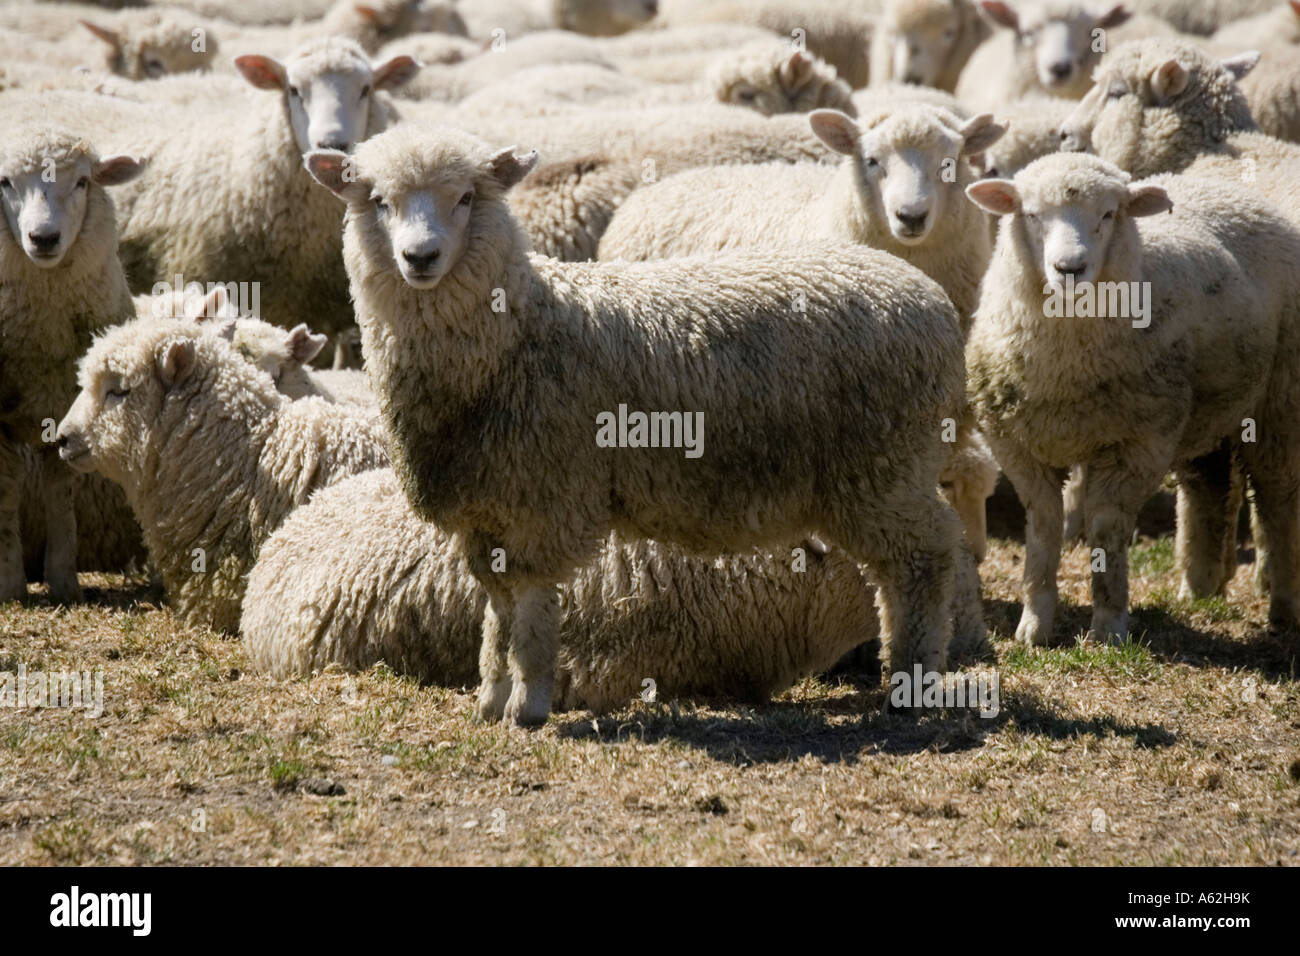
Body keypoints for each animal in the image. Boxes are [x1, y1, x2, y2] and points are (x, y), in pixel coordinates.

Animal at [0, 124, 143, 600]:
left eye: (82, 182)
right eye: (4, 182)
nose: (43, 238)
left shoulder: (65, 407)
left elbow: (60, 495)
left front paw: (64, 581)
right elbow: (5, 494)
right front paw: (10, 584)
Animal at [306, 127, 977, 723]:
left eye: (467, 198)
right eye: (379, 201)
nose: (420, 257)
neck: (517, 330)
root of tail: (930, 297)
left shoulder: (545, 497)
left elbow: (529, 606)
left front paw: (529, 704)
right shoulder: (486, 507)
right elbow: (496, 608)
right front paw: (491, 700)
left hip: (885, 467)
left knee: (926, 558)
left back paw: (912, 680)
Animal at [961, 151, 1300, 642]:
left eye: (1107, 215)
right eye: (1032, 214)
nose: (1070, 269)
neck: (1065, 366)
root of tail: (1230, 187)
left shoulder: (1137, 445)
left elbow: (1106, 529)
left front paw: (1108, 625)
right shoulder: (1019, 447)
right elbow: (1043, 527)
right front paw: (1035, 624)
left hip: (1279, 399)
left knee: (1278, 499)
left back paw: (1283, 607)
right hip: (1206, 408)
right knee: (1209, 484)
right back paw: (1200, 588)